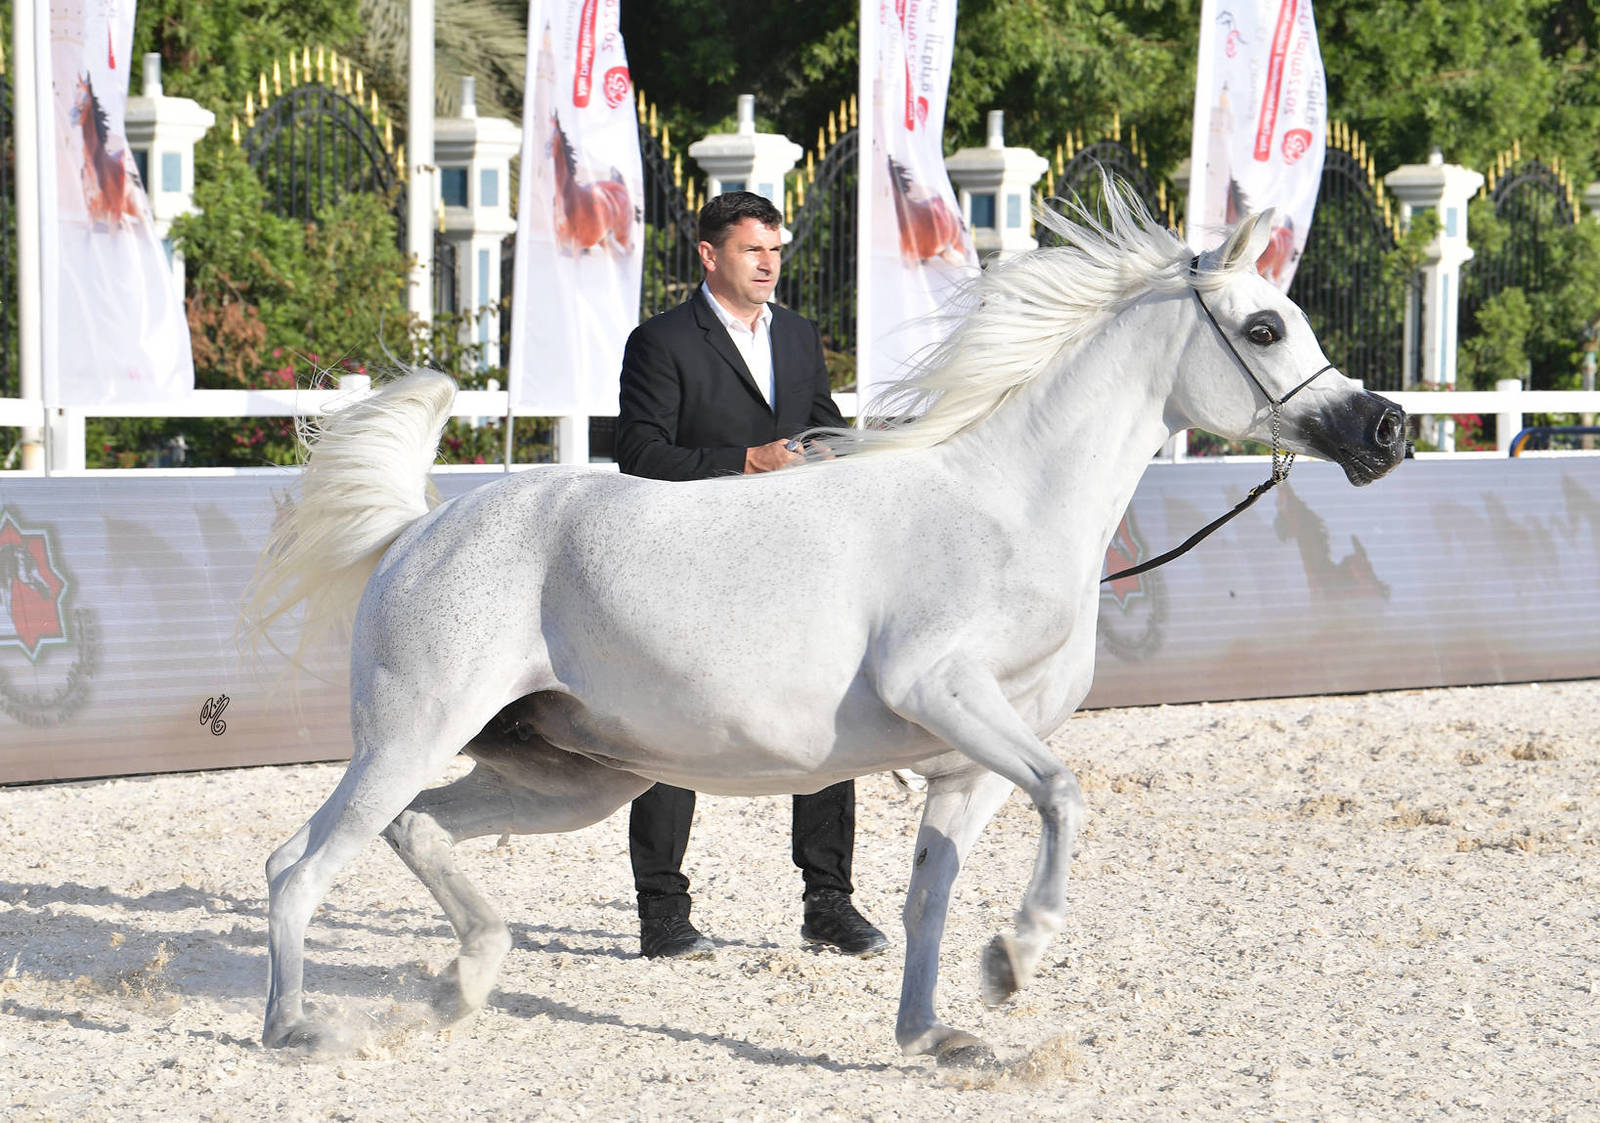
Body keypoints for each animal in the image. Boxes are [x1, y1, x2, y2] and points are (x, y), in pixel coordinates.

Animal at [247, 185, 1406, 1065]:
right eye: (1264, 328)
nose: (1386, 429)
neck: (1004, 509)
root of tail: (421, 527)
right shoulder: (942, 689)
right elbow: (1067, 797)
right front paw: (1017, 957)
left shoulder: (967, 761)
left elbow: (932, 894)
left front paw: (937, 1031)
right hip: (412, 735)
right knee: (299, 864)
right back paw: (298, 1027)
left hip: (572, 774)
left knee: (415, 828)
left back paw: (464, 981)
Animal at [549, 114, 636, 255]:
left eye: (555, 135)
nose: (546, 148)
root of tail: (621, 186)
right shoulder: (561, 243)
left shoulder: (575, 243)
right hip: (607, 238)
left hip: (620, 234)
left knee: (629, 247)